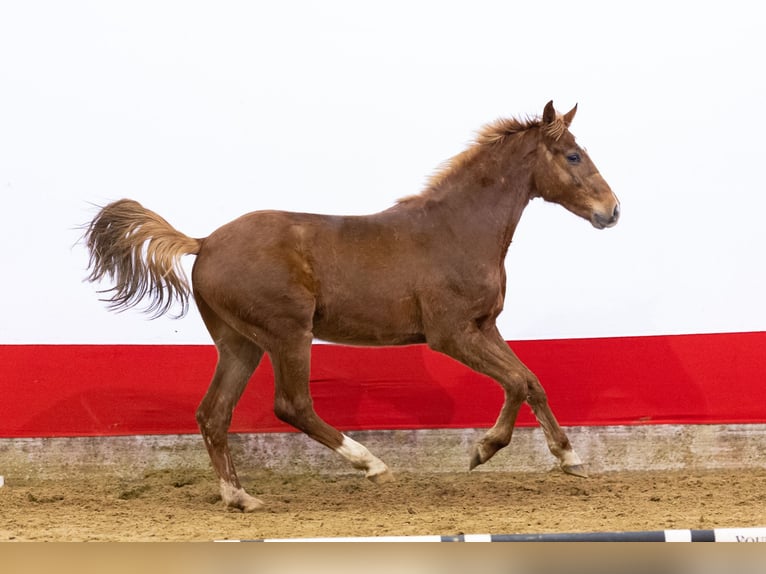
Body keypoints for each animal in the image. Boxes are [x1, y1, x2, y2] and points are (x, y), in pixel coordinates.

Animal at [84, 101, 620, 511]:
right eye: (573, 155)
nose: (612, 211)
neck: (457, 230)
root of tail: (203, 243)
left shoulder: (484, 326)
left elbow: (530, 380)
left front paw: (568, 458)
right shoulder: (451, 334)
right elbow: (515, 381)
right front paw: (483, 451)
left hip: (239, 344)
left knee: (213, 413)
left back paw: (240, 498)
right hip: (288, 334)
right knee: (292, 404)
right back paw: (372, 465)